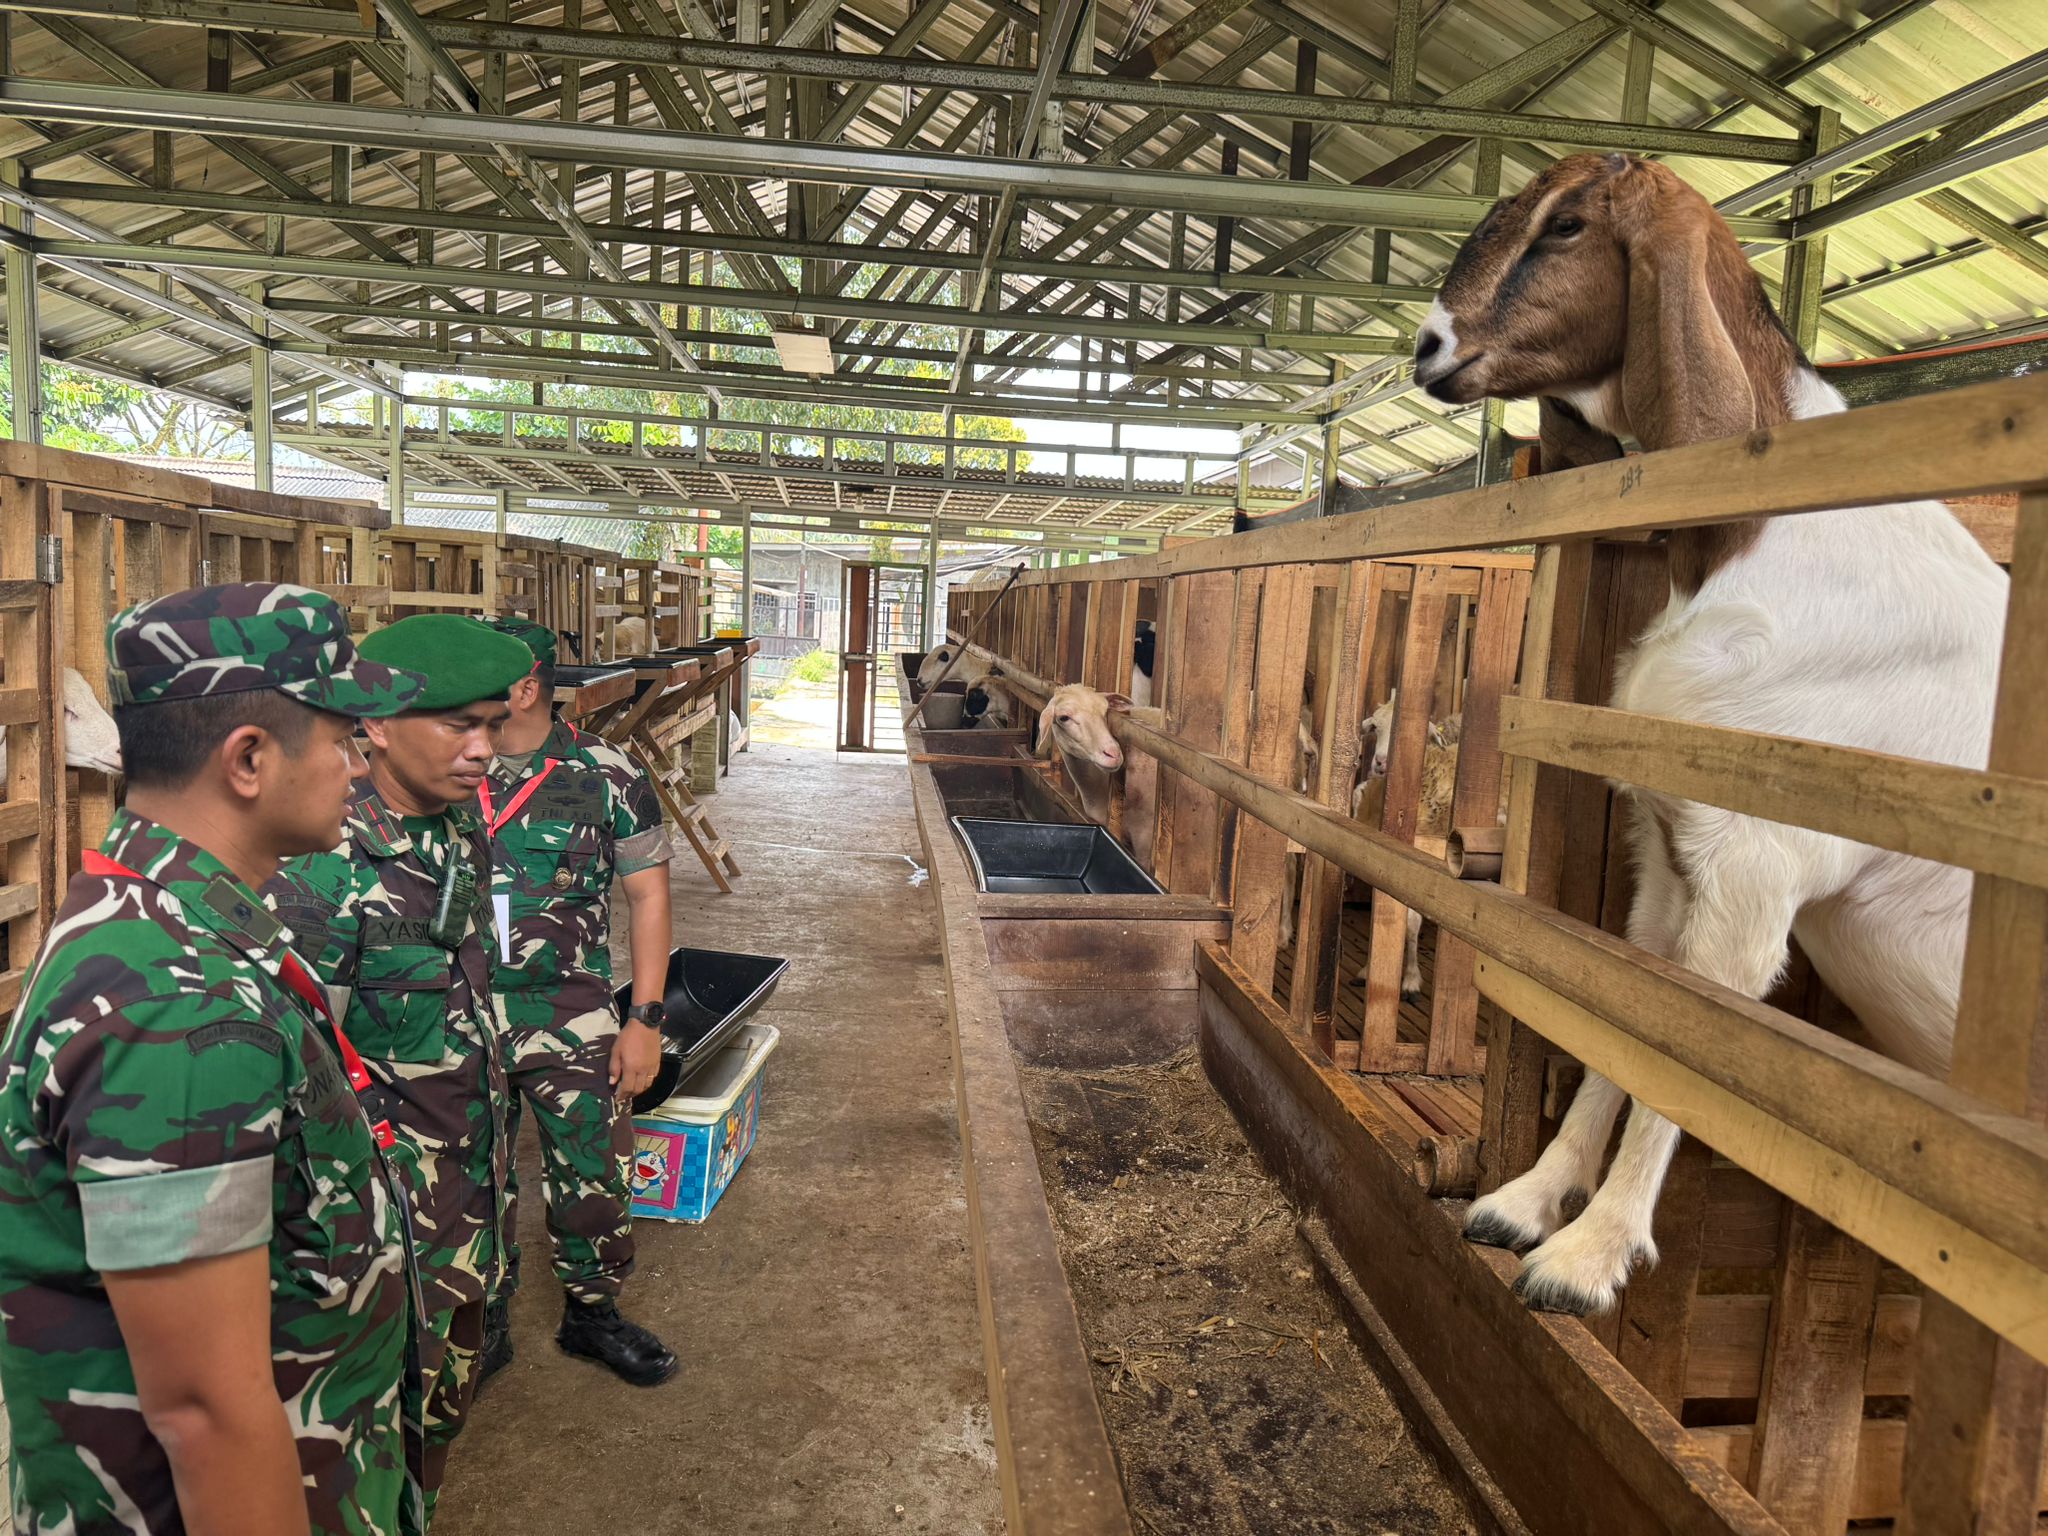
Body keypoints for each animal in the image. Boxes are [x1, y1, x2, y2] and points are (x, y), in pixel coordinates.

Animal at [1414, 153, 2007, 1316]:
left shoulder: (1753, 875)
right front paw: (1527, 1202)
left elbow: (1687, 1061)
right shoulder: (1665, 858)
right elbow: (1627, 1021)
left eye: (1566, 224)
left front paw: (1586, 1261)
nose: (1428, 349)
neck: (1771, 538)